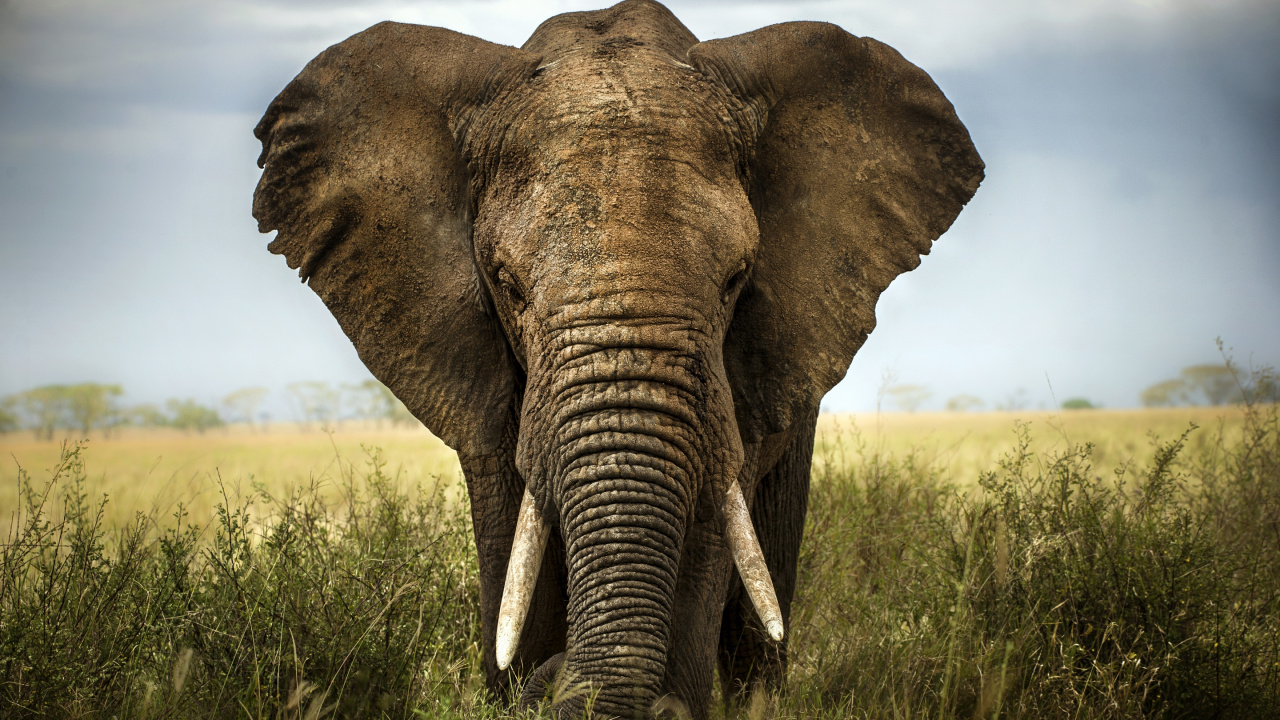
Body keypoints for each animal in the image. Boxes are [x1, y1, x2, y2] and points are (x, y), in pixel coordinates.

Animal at [252, 0, 982, 716]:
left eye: (737, 279)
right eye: (507, 284)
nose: (553, 679)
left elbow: (709, 534)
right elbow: (510, 539)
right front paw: (519, 676)